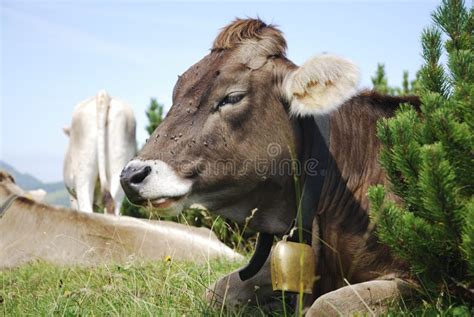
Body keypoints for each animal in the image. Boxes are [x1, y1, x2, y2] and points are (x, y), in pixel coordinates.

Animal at [121, 19, 418, 314]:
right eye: (176, 95)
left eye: (232, 97)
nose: (130, 176)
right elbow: (219, 290)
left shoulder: (418, 279)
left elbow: (327, 306)